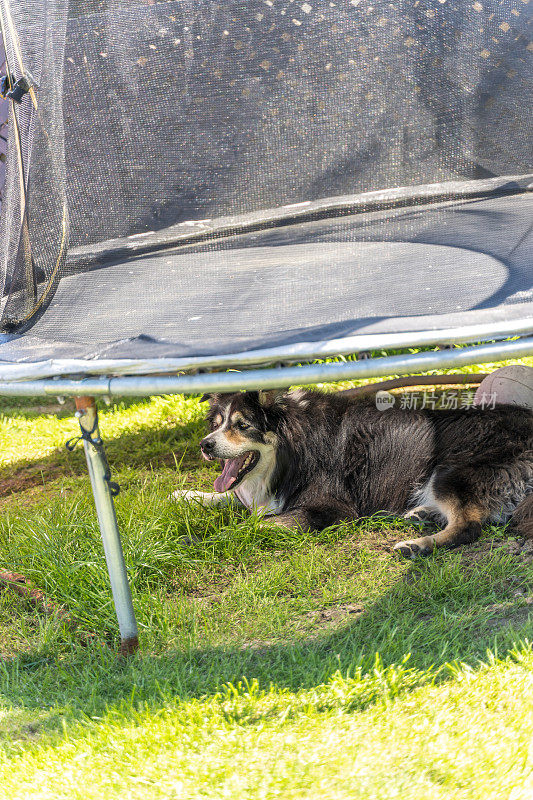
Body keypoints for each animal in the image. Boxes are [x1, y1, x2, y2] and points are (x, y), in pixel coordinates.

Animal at [175, 390, 532, 556]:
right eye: (216, 424)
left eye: (242, 426)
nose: (205, 445)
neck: (294, 448)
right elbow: (232, 498)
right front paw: (187, 494)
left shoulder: (329, 509)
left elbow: (253, 526)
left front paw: (198, 540)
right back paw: (421, 515)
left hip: (450, 471)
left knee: (470, 525)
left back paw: (418, 545)